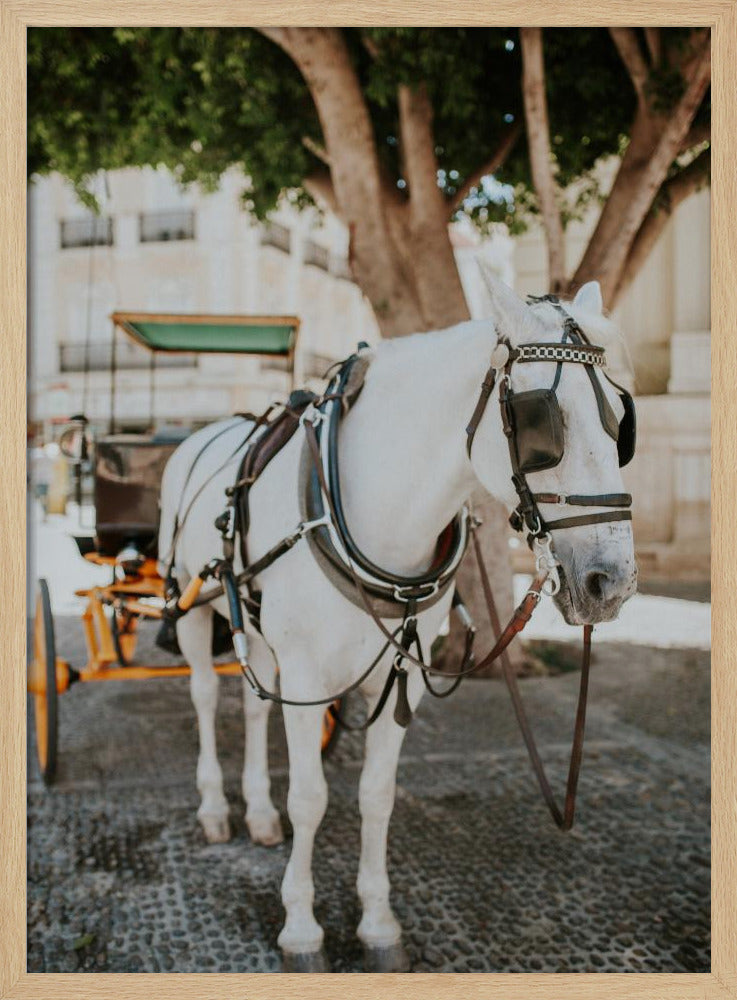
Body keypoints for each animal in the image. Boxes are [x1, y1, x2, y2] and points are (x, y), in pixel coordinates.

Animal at [157, 275, 637, 972]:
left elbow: (376, 796)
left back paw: (259, 814)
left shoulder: (400, 667)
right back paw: (217, 807)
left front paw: (378, 922)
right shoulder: (308, 675)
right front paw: (301, 928)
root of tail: (203, 431)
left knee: (252, 705)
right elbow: (312, 798)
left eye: (622, 424)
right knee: (201, 696)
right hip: (193, 607)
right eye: (540, 420)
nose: (612, 583)